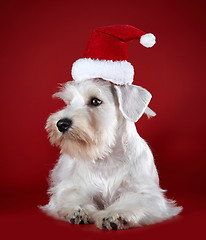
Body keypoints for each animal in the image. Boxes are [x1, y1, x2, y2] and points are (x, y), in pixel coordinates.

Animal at [41, 78, 182, 230]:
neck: (107, 157)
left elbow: (132, 201)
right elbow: (73, 195)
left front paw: (114, 215)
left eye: (95, 101)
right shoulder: (72, 186)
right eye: (69, 103)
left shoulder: (146, 194)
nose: (61, 124)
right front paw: (78, 210)